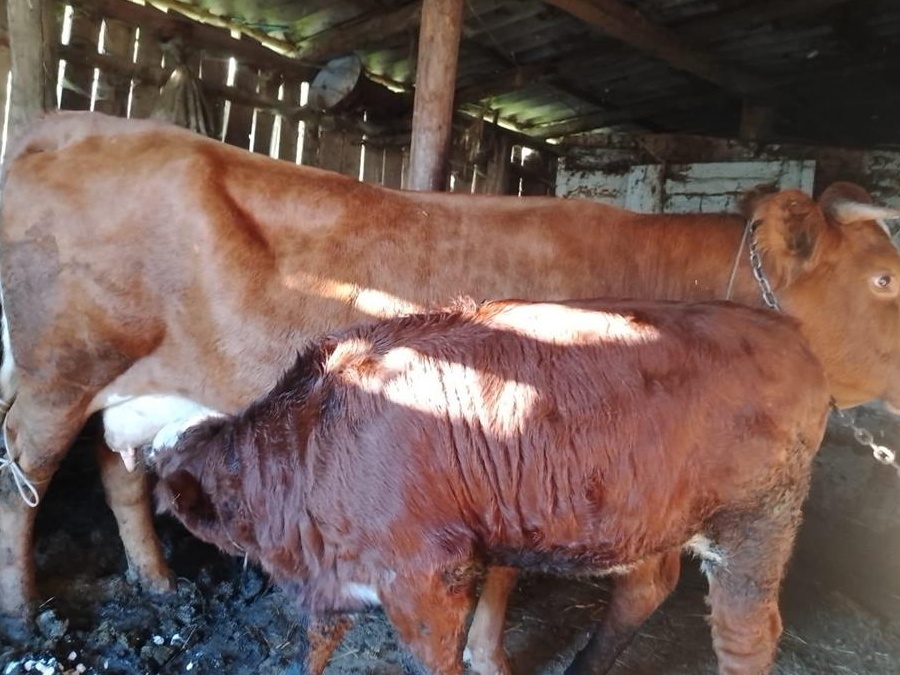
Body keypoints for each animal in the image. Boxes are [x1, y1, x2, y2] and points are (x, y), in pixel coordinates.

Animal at [149, 298, 831, 675]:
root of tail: (785, 329)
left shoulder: (424, 575)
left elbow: (431, 658)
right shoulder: (335, 572)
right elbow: (314, 645)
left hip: (756, 521)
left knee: (747, 633)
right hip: (651, 511)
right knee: (645, 588)